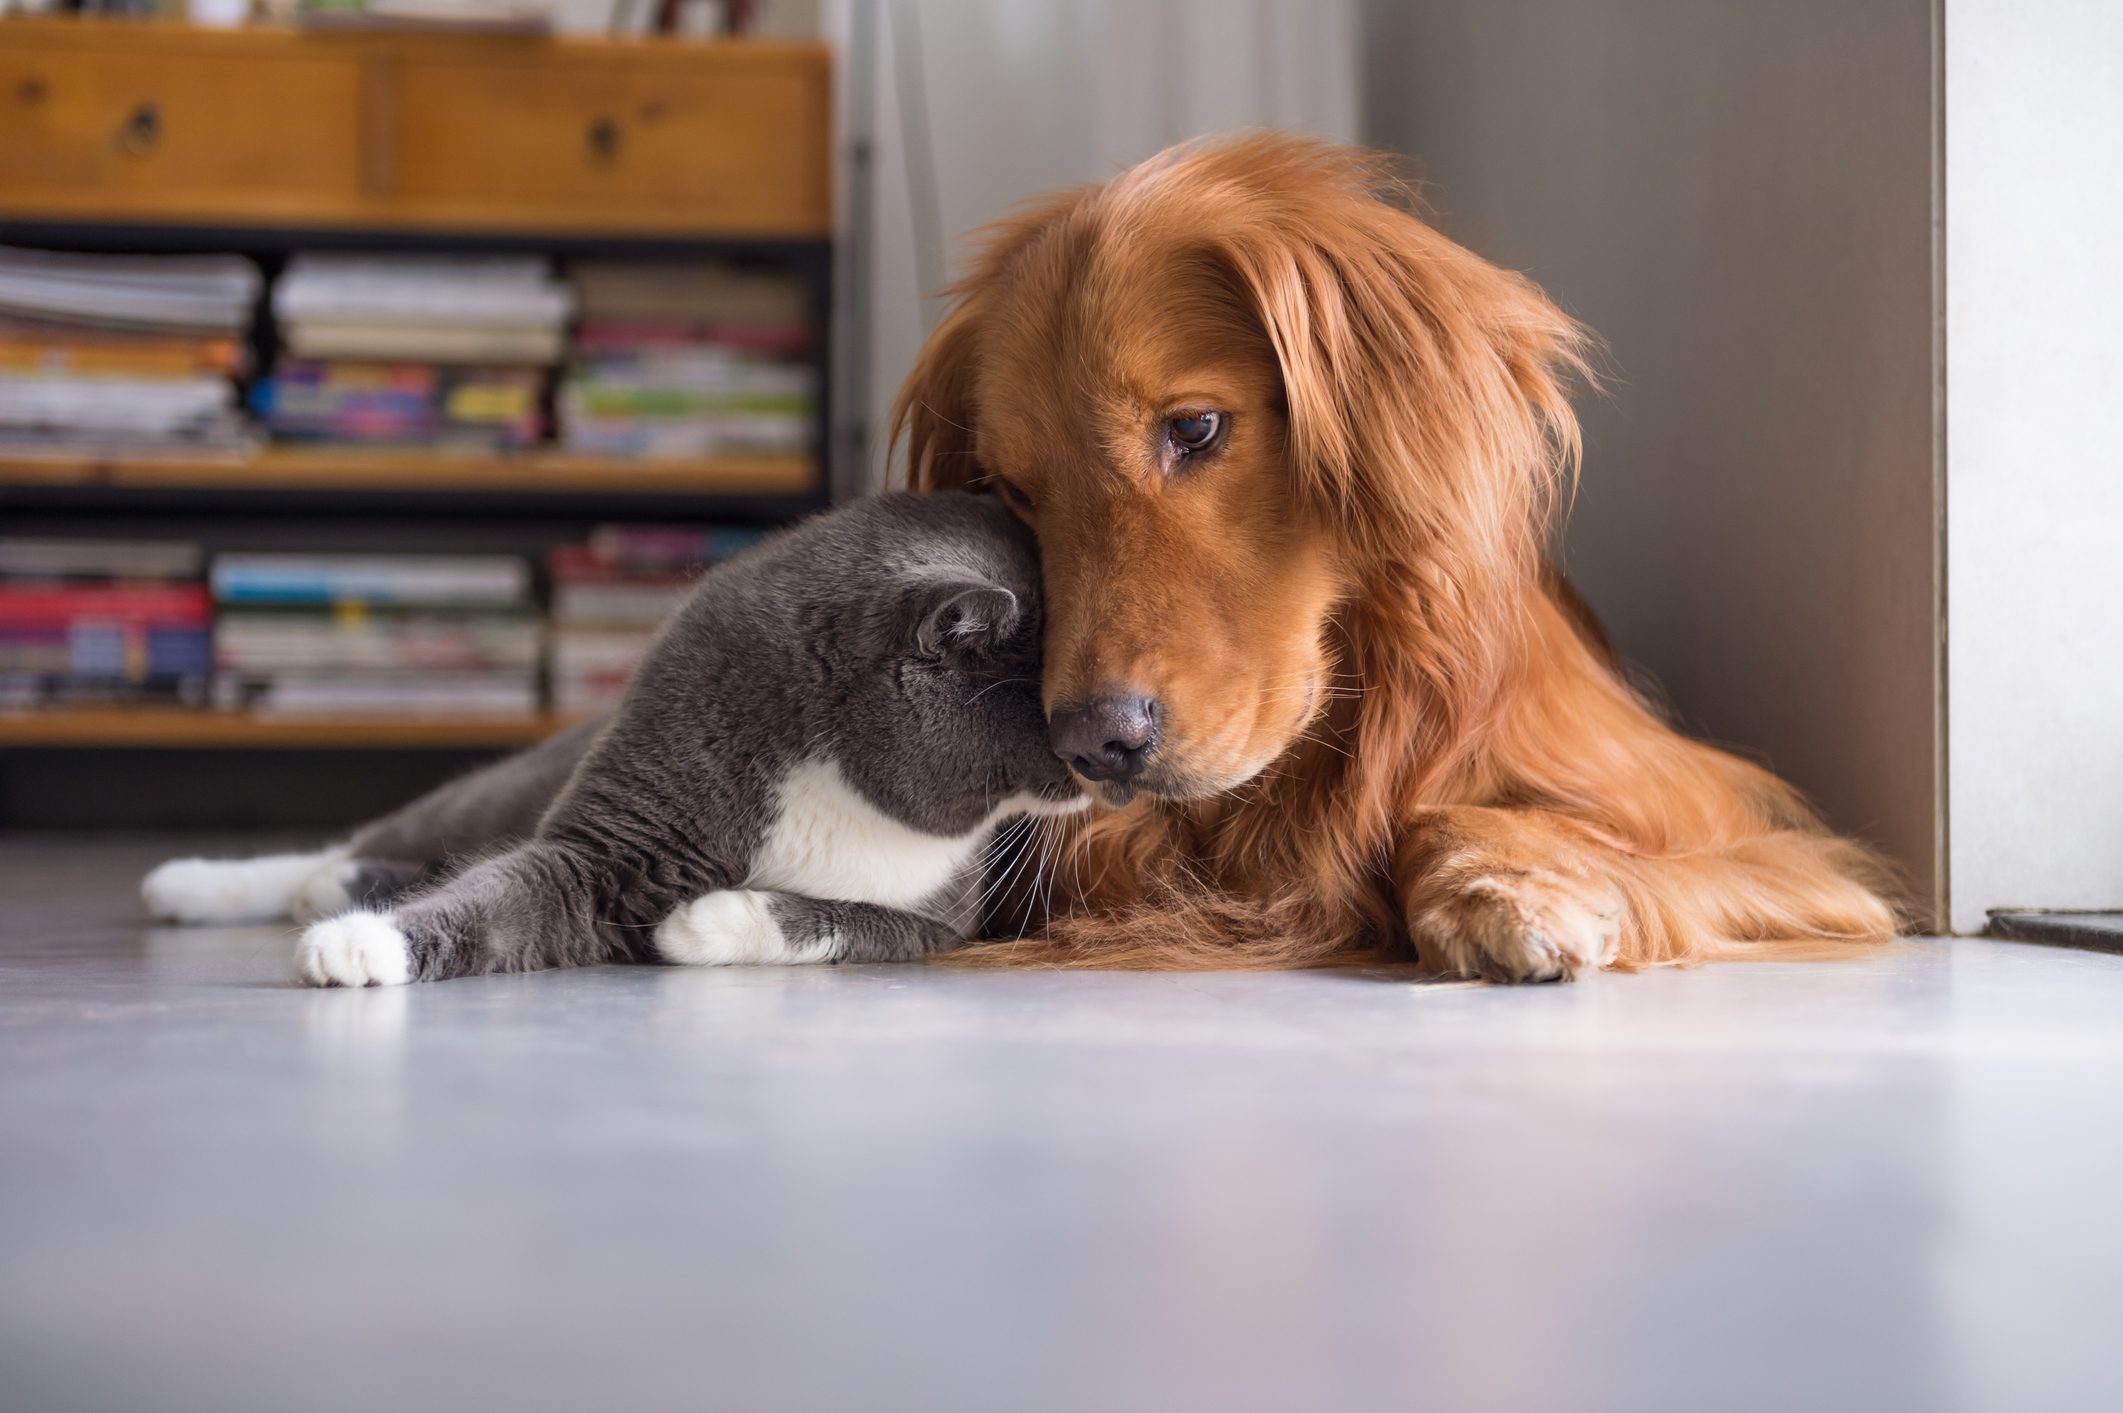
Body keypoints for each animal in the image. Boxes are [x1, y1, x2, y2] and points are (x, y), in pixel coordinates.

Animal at [141, 492, 1086, 980]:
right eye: (1050, 712)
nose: (1105, 755)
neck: (839, 783)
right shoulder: (609, 839)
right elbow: (501, 890)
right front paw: (362, 944)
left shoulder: (946, 918)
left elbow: (853, 920)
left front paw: (702, 922)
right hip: (499, 787)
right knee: (371, 839)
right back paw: (212, 886)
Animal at [891, 134, 1893, 980]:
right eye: (1012, 492)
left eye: (1194, 428)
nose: (1093, 743)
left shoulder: (1752, 837)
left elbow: (1459, 810)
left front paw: (1500, 887)